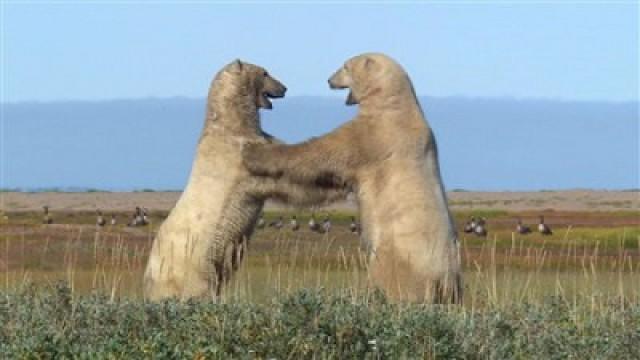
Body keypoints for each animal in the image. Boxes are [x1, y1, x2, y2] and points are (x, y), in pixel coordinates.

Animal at [143, 60, 348, 300]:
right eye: (265, 73)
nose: (284, 88)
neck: (231, 123)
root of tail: (148, 282)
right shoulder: (241, 159)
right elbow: (283, 177)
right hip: (191, 264)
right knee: (199, 288)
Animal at [244, 53, 460, 304]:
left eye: (345, 66)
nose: (329, 80)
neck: (394, 102)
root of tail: (443, 281)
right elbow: (331, 179)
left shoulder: (374, 135)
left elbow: (323, 154)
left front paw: (253, 153)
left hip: (399, 260)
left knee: (387, 283)